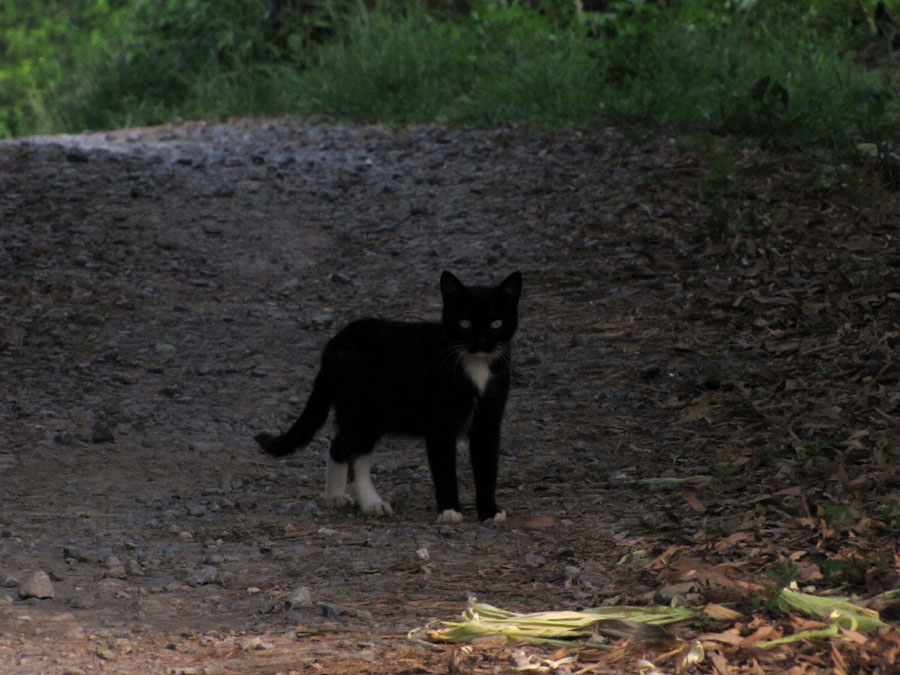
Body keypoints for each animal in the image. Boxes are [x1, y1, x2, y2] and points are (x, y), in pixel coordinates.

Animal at [253, 272, 520, 524]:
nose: (481, 343)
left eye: (496, 323)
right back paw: (362, 501)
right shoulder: (440, 425)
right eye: (464, 322)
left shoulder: (488, 421)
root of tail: (334, 343)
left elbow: (487, 468)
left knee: (342, 446)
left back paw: (348, 499)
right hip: (361, 408)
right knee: (347, 447)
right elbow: (444, 469)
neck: (477, 368)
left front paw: (489, 512)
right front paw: (449, 511)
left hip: (366, 415)